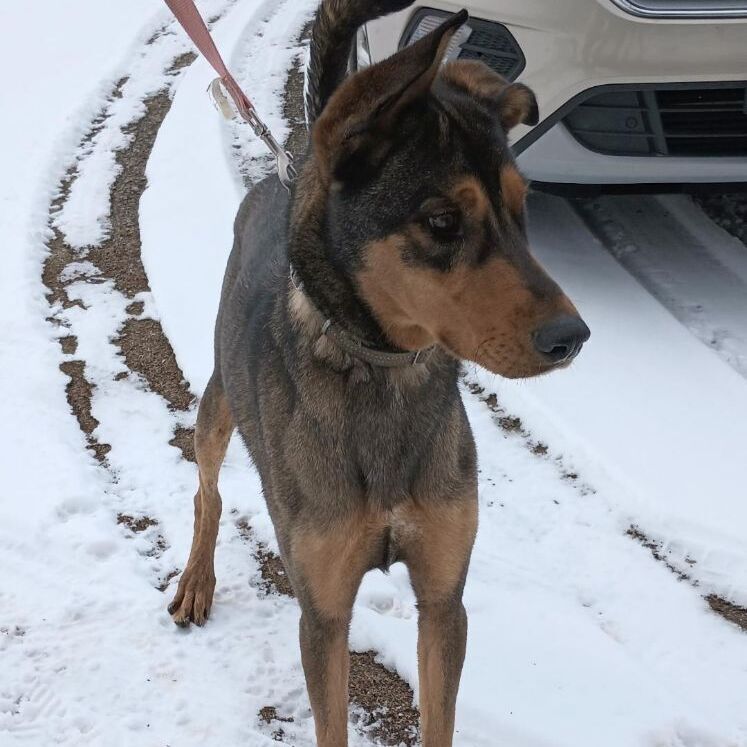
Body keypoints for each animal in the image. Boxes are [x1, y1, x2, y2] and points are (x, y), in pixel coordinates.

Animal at [168, 2, 592, 744]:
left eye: (522, 207)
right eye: (441, 220)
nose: (571, 337)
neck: (386, 374)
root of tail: (289, 169)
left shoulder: (444, 599)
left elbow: (439, 714)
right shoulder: (323, 612)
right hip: (219, 401)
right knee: (207, 490)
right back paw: (197, 577)